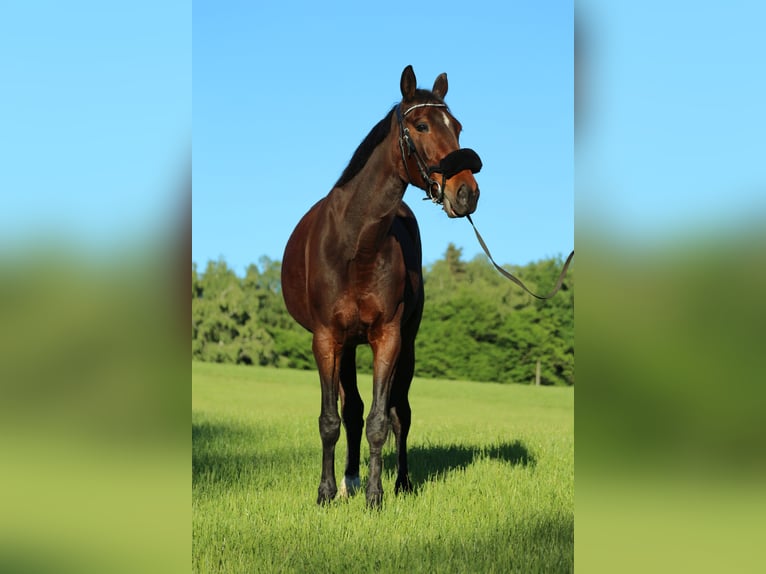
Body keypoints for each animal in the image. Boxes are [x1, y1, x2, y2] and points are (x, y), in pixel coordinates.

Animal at [281, 65, 481, 508]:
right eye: (421, 125)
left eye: (457, 127)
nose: (467, 192)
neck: (356, 242)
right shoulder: (326, 338)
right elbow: (331, 419)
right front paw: (325, 493)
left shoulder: (388, 337)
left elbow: (380, 420)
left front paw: (376, 497)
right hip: (346, 345)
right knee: (351, 410)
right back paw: (348, 480)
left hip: (404, 344)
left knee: (398, 413)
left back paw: (399, 482)